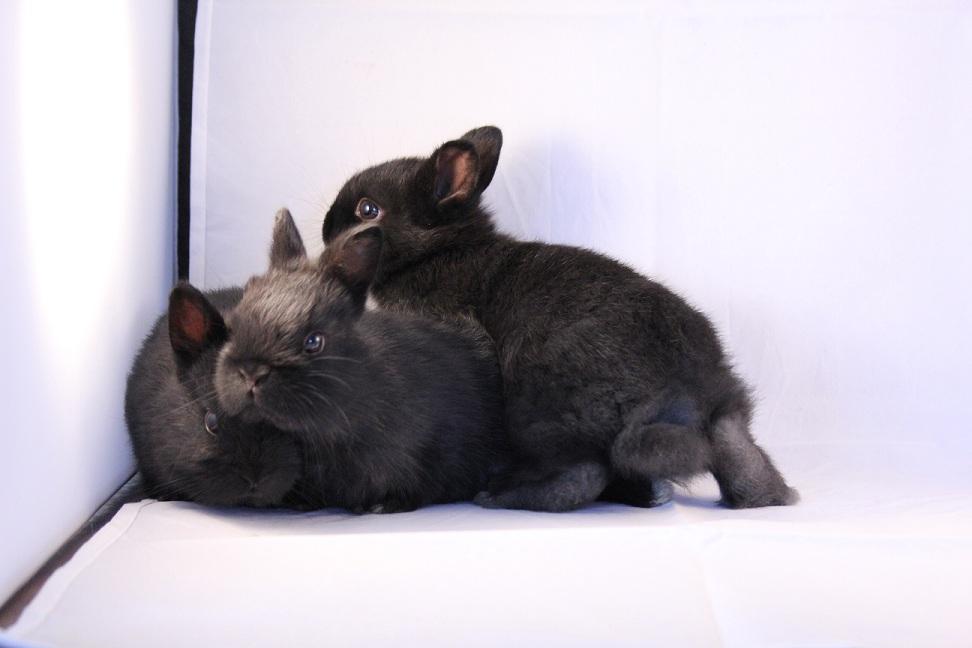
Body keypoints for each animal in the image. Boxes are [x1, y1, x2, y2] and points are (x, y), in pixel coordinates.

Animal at [320, 125, 799, 512]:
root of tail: (685, 388)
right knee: (737, 449)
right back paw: (766, 498)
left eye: (368, 210)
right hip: (724, 419)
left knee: (582, 473)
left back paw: (501, 498)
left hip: (540, 410)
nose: (325, 232)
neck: (437, 252)